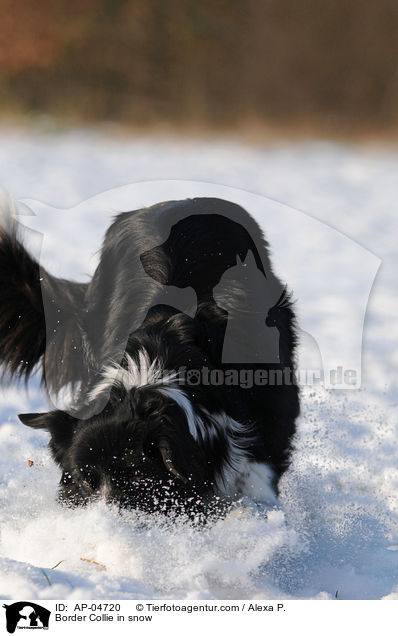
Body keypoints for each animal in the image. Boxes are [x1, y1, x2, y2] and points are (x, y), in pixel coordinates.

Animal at [0, 198, 298, 516]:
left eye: (140, 478)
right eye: (86, 481)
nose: (107, 523)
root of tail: (185, 200)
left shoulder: (271, 407)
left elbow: (260, 475)